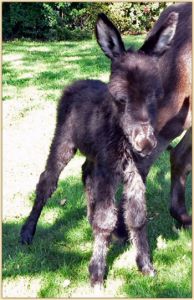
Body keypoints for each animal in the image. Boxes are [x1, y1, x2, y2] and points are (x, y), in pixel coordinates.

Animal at [20, 11, 179, 288]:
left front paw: (146, 266)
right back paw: (27, 233)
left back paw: (88, 216)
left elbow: (137, 217)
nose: (145, 145)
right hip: (64, 142)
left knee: (85, 173)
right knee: (47, 181)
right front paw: (96, 273)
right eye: (120, 98)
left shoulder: (133, 171)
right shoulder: (108, 168)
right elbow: (106, 220)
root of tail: (77, 82)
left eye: (156, 96)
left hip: (94, 155)